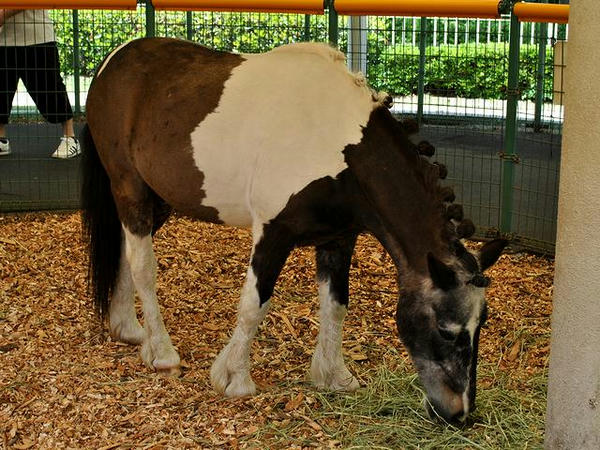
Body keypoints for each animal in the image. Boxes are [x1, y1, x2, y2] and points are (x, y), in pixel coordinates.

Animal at [81, 37, 506, 422]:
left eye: (481, 326)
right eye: (447, 331)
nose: (458, 414)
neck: (340, 147)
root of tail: (114, 61)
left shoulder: (338, 240)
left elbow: (336, 305)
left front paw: (334, 376)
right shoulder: (273, 233)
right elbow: (254, 303)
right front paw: (233, 378)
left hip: (159, 200)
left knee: (124, 252)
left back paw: (128, 328)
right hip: (130, 189)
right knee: (143, 267)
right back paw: (161, 352)